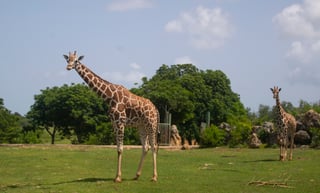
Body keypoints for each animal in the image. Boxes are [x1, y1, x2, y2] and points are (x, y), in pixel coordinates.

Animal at [63, 50, 160, 182]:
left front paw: (118, 177)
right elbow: (117, 149)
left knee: (154, 146)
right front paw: (117, 176)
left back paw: (154, 177)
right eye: (68, 60)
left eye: (76, 60)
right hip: (141, 126)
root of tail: (155, 109)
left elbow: (120, 149)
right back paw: (137, 175)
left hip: (151, 123)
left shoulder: (120, 122)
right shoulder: (114, 123)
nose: (68, 67)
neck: (109, 97)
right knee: (145, 147)